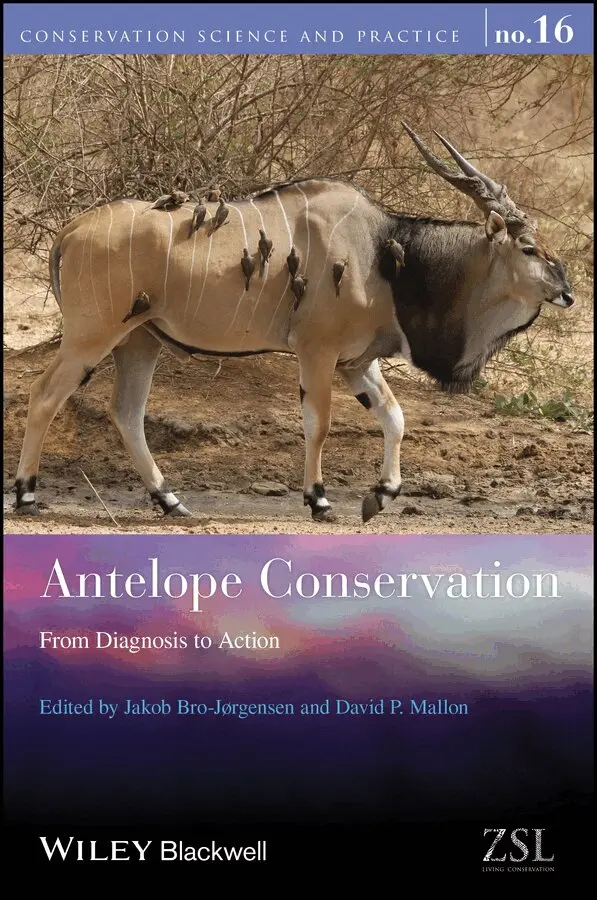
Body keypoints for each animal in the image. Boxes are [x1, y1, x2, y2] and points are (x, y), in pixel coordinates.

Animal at [14, 124, 574, 523]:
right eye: (528, 248)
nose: (568, 292)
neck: (385, 253)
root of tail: (71, 229)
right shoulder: (317, 352)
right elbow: (318, 424)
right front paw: (320, 499)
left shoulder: (357, 362)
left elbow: (394, 417)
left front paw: (382, 494)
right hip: (92, 335)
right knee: (45, 395)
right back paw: (25, 495)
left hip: (140, 341)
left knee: (126, 412)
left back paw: (170, 501)